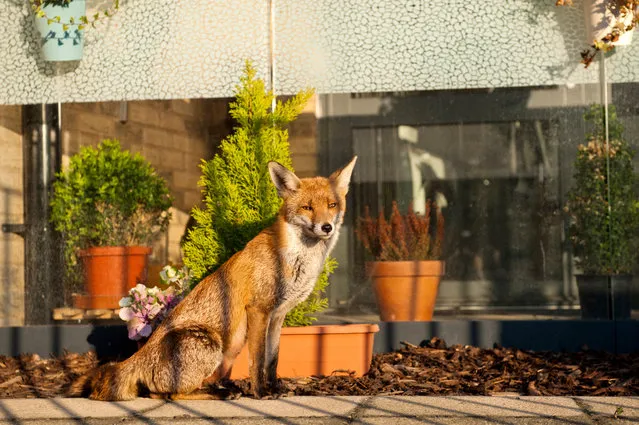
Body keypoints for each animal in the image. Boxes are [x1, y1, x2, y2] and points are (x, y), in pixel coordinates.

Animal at [72, 157, 360, 400]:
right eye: (307, 207)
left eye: (332, 205)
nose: (327, 227)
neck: (294, 259)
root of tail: (138, 356)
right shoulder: (258, 310)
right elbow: (257, 359)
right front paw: (260, 393)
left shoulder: (278, 315)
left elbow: (272, 359)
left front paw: (275, 388)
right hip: (210, 342)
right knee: (171, 394)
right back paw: (221, 393)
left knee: (158, 393)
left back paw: (222, 388)